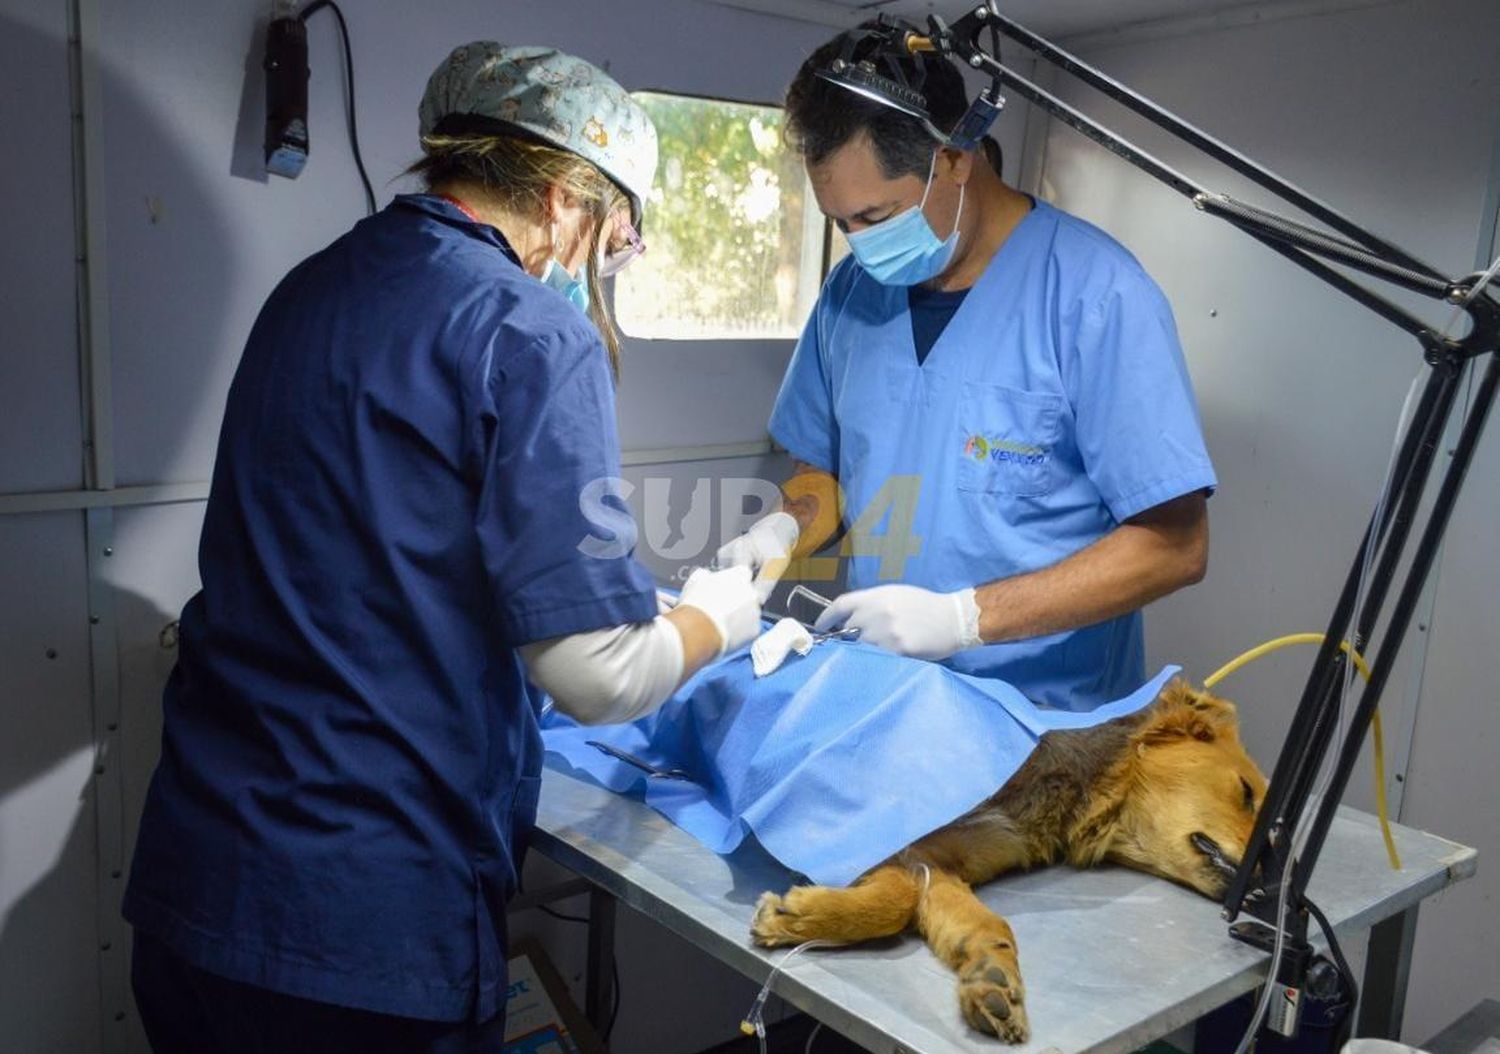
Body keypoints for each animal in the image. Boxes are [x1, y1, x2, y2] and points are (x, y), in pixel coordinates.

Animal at [750, 680, 1266, 1043]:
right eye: (1246, 793)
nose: (1268, 883)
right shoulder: (886, 830)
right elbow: (895, 900)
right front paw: (793, 917)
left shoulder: (935, 860)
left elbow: (977, 922)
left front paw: (990, 977)